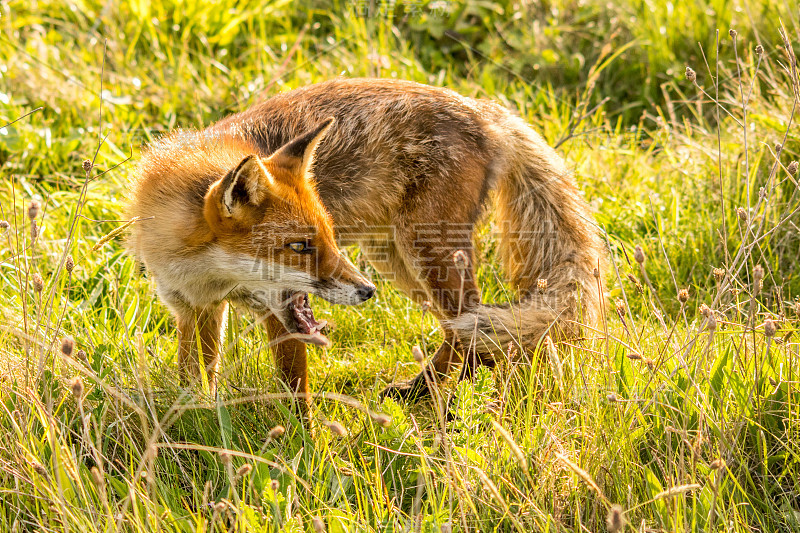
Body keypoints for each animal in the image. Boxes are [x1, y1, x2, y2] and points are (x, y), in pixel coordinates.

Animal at [130, 78, 608, 400]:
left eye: (328, 237)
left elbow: (294, 392)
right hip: (394, 259)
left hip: (423, 252)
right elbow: (195, 381)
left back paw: (445, 392)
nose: (366, 292)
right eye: (299, 247)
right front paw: (195, 425)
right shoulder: (194, 309)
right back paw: (447, 383)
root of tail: (485, 109)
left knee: (476, 325)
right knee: (469, 332)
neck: (207, 274)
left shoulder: (280, 314)